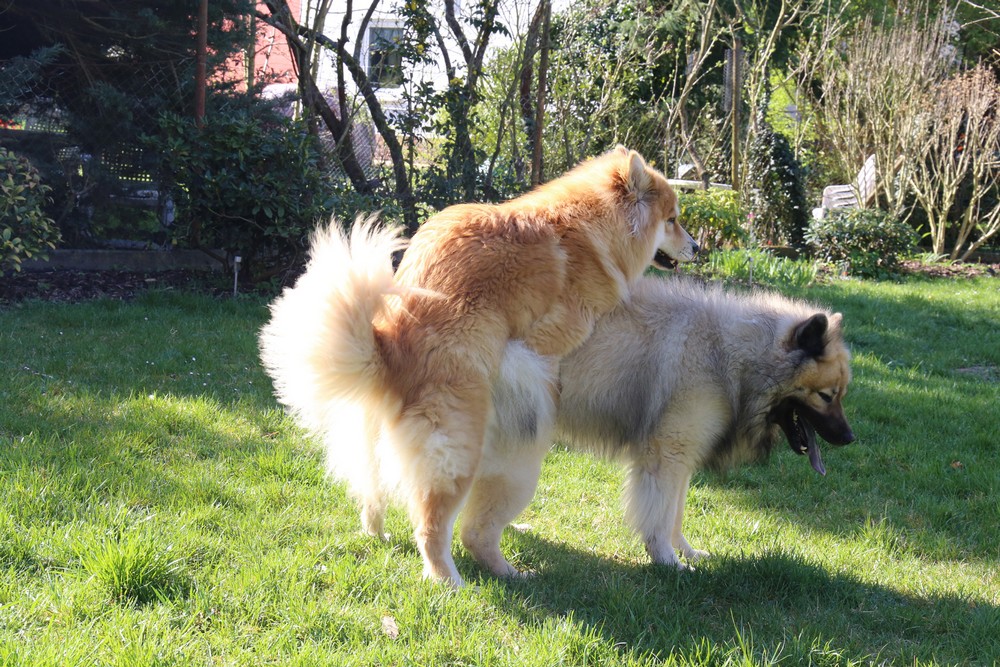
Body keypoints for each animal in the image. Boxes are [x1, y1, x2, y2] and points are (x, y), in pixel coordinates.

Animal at [258, 147, 699, 586]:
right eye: (672, 220)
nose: (697, 247)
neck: (592, 228)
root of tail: (390, 348)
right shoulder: (554, 332)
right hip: (461, 445)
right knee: (434, 525)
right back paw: (449, 580)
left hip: (372, 437)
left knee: (374, 494)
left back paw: (378, 534)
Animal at [481, 277, 855, 572]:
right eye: (826, 396)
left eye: (841, 394)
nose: (849, 438)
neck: (731, 357)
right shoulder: (666, 456)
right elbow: (659, 516)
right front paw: (666, 561)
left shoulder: (683, 460)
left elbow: (675, 513)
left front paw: (686, 552)